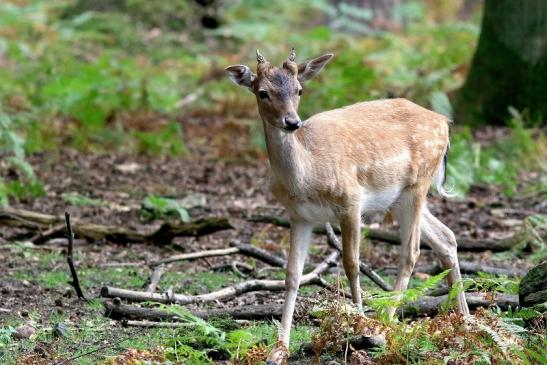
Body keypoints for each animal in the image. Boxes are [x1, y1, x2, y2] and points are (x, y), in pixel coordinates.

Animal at [227, 49, 470, 364]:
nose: (292, 122)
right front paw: (279, 350)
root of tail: (445, 122)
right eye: (263, 93)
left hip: (418, 184)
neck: (305, 177)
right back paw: (466, 321)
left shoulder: (351, 201)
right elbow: (292, 275)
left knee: (412, 252)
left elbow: (352, 264)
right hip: (400, 198)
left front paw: (361, 325)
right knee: (446, 237)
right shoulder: (299, 216)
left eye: (299, 90)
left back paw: (385, 323)